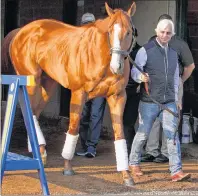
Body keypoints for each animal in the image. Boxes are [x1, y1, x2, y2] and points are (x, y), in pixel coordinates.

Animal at [1, 1, 137, 185]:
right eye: (110, 31)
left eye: (129, 31)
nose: (117, 67)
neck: (99, 56)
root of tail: (21, 31)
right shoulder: (79, 93)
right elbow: (73, 127)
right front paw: (67, 166)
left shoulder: (117, 97)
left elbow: (119, 134)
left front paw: (126, 175)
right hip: (31, 81)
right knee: (29, 111)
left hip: (48, 84)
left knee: (34, 112)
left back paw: (40, 150)